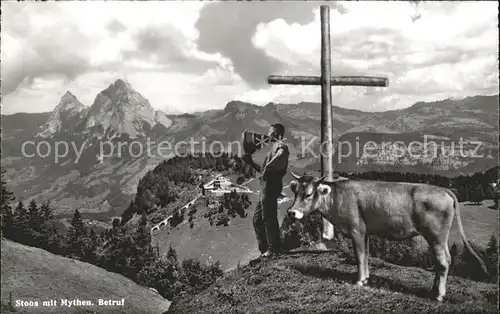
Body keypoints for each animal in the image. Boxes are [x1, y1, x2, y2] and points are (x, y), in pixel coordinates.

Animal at [288, 172, 486, 302]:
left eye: (308, 194)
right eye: (295, 193)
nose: (291, 212)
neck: (337, 197)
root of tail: (444, 190)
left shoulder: (356, 230)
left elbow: (360, 256)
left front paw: (359, 281)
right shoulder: (365, 233)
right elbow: (366, 255)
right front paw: (366, 278)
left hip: (436, 236)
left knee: (443, 262)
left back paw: (439, 295)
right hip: (440, 239)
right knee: (445, 259)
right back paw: (433, 290)